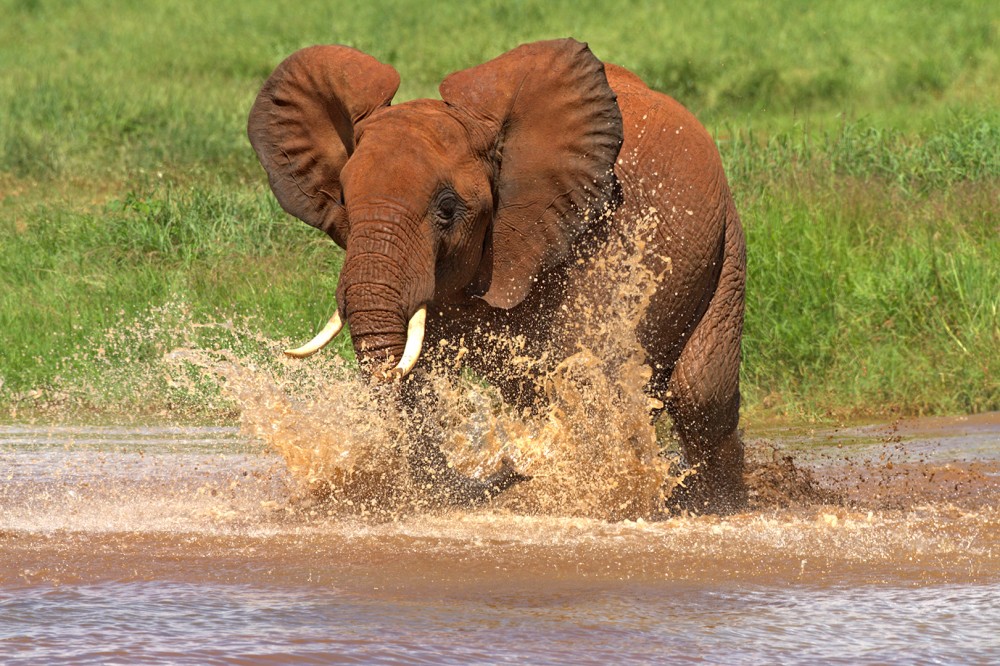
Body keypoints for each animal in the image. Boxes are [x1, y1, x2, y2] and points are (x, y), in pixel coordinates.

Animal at [249, 37, 748, 512]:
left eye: (447, 209)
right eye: (343, 203)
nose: (507, 469)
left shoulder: (605, 229)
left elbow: (589, 376)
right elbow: (424, 371)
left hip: (725, 243)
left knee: (699, 392)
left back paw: (711, 505)